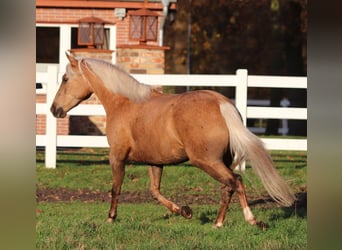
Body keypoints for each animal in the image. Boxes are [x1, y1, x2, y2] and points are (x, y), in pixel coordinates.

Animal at [50, 53, 294, 229]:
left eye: (65, 79)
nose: (54, 109)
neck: (124, 103)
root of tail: (221, 103)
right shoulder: (155, 162)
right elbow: (155, 192)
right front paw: (184, 211)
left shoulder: (117, 156)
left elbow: (116, 188)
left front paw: (110, 218)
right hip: (219, 162)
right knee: (227, 188)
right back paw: (217, 224)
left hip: (207, 162)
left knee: (236, 182)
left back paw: (252, 220)